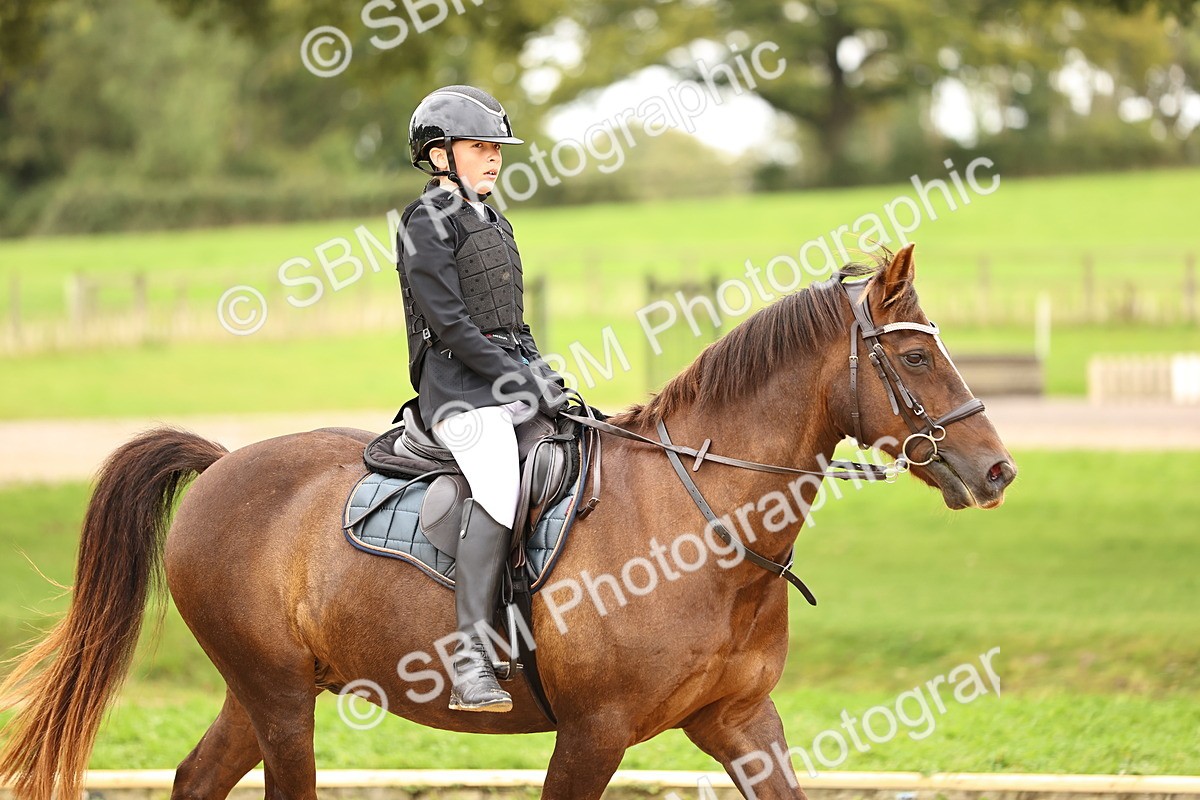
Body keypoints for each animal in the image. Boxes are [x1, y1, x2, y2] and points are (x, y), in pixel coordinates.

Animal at [0, 244, 1015, 799]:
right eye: (917, 359)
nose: (997, 470)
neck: (704, 524)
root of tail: (222, 467)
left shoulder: (740, 722)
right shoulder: (594, 733)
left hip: (265, 693)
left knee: (197, 778)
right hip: (281, 700)